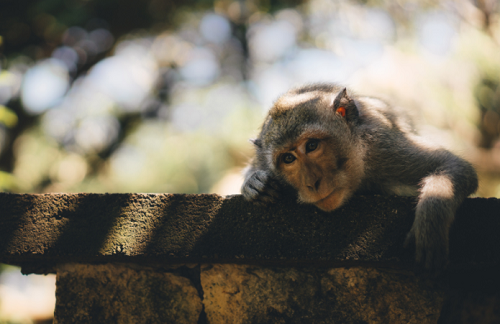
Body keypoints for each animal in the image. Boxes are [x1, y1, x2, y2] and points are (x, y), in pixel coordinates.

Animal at [244, 83, 478, 274]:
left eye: (311, 145)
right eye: (288, 158)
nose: (312, 183)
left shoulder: (383, 148)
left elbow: (454, 165)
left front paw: (431, 224)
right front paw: (254, 184)